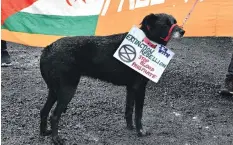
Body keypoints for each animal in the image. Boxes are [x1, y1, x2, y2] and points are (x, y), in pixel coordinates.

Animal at [39, 13, 186, 144]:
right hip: (67, 90)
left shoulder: (131, 88)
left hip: (54, 91)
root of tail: (48, 48)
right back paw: (56, 139)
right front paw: (140, 131)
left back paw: (44, 132)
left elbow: (129, 110)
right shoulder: (140, 88)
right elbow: (138, 113)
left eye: (175, 22)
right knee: (54, 116)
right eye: (165, 25)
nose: (183, 31)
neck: (147, 40)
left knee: (44, 111)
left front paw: (130, 127)